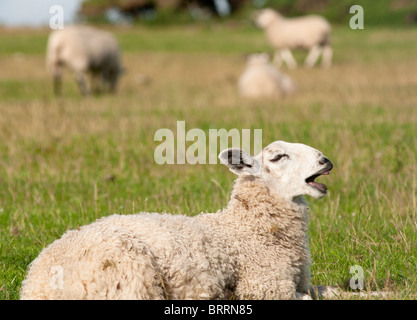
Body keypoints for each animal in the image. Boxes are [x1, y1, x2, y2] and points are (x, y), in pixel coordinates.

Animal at [19, 141, 334, 300]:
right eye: (279, 157)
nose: (326, 161)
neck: (246, 227)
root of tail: (35, 284)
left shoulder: (299, 282)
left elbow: (327, 291)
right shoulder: (265, 285)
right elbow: (309, 299)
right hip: (130, 277)